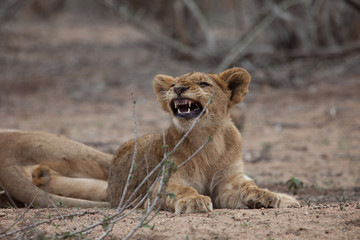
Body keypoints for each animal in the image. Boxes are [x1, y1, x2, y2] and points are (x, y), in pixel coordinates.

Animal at [0, 67, 300, 212]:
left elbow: (249, 187)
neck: (207, 141)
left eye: (203, 84)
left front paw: (270, 197)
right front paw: (195, 201)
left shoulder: (229, 182)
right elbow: (182, 190)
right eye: (174, 84)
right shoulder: (163, 184)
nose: (178, 88)